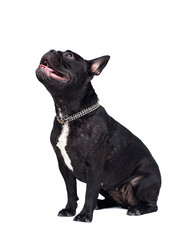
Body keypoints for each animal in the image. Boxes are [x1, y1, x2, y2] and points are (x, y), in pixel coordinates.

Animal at [35, 49, 161, 223]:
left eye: (69, 55)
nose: (52, 50)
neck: (69, 116)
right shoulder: (64, 167)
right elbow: (71, 191)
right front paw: (69, 210)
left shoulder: (94, 167)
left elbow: (89, 192)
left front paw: (84, 215)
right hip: (106, 187)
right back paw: (99, 204)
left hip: (141, 183)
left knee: (152, 205)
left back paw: (137, 209)